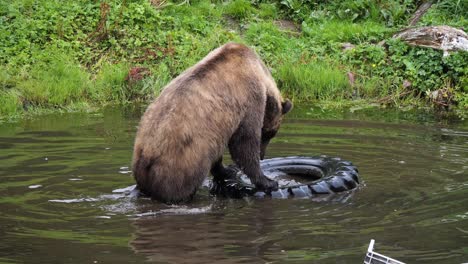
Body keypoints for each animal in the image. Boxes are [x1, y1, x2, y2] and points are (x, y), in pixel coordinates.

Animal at [132, 42, 290, 204]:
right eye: (269, 134)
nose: (262, 156)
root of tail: (146, 158)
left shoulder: (219, 130)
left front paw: (228, 170)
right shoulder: (250, 99)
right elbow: (244, 142)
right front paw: (269, 182)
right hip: (181, 164)